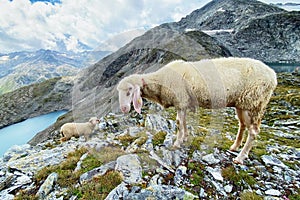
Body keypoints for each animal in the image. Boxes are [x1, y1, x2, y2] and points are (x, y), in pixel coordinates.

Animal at [117, 56, 276, 164]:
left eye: (130, 91)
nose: (124, 108)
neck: (161, 81)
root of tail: (273, 75)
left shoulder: (181, 100)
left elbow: (179, 123)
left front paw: (177, 143)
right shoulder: (184, 103)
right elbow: (183, 122)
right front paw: (185, 137)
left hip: (254, 103)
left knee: (253, 132)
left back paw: (240, 157)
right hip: (242, 104)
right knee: (242, 125)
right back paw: (234, 146)